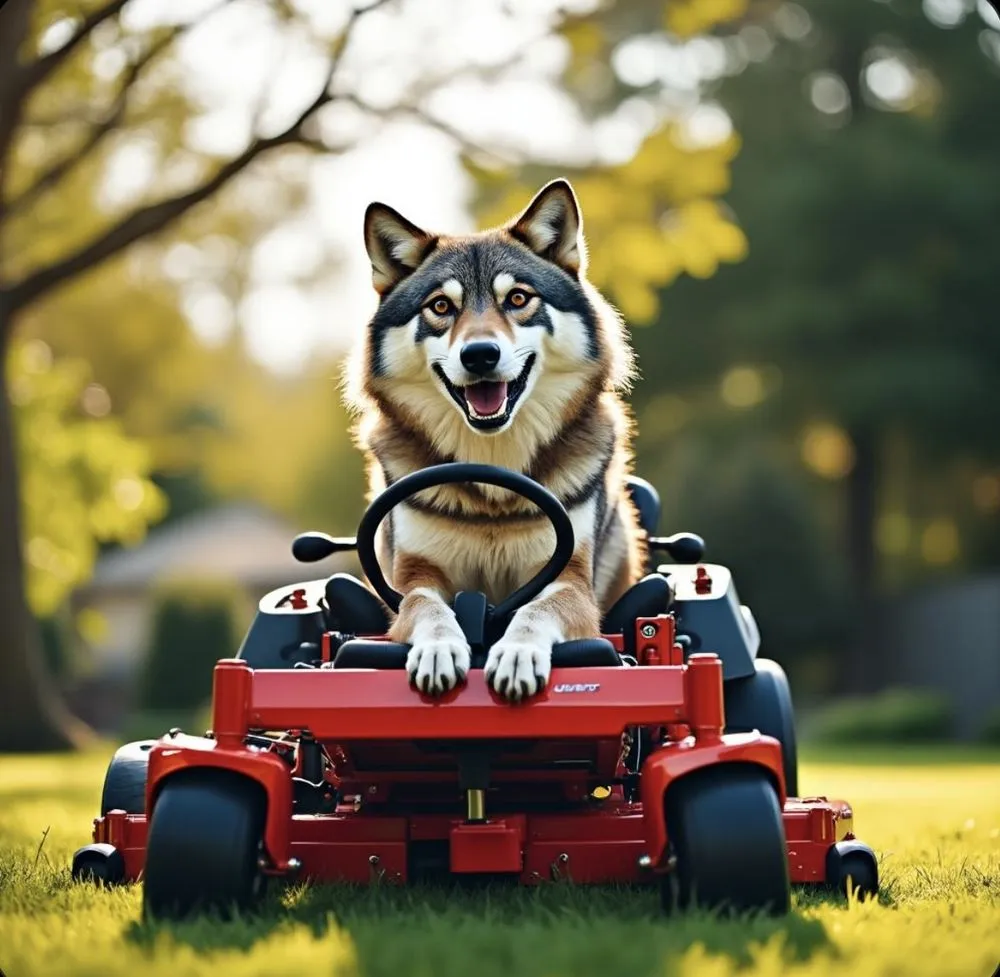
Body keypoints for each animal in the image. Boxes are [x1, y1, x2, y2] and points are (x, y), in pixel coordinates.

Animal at [343, 179, 647, 701]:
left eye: (518, 299)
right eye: (441, 307)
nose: (480, 354)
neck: (492, 472)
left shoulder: (569, 578)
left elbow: (535, 610)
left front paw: (518, 653)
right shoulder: (414, 576)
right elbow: (428, 609)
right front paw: (440, 648)